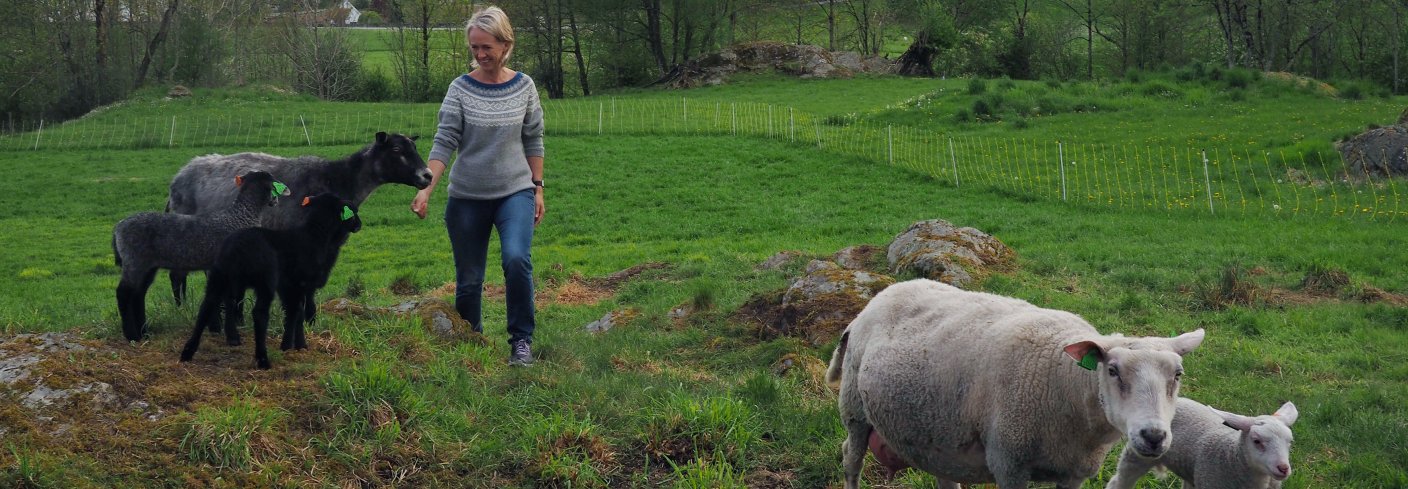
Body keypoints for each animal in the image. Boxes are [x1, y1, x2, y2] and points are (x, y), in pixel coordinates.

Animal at [113, 168, 288, 341]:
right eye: (272, 183)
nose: (276, 201)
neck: (241, 217)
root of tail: (118, 228)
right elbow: (227, 298)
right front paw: (223, 329)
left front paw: (216, 327)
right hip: (134, 260)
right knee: (124, 293)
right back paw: (132, 335)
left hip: (148, 266)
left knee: (138, 294)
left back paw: (144, 333)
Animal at [164, 132, 428, 312]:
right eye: (396, 149)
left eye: (414, 146)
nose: (428, 175)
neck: (337, 181)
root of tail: (178, 177)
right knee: (177, 275)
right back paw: (181, 309)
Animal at [178, 193, 363, 369]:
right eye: (352, 212)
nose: (359, 225)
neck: (315, 236)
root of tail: (237, 247)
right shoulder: (299, 284)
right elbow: (297, 312)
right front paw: (294, 344)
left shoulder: (287, 287)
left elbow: (294, 312)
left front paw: (292, 345)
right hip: (265, 280)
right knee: (259, 313)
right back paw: (263, 360)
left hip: (219, 276)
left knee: (207, 306)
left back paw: (188, 352)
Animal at [822, 279, 1210, 489]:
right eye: (1113, 370)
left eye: (1177, 375)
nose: (1153, 436)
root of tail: (881, 295)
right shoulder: (1009, 463)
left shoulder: (1074, 473)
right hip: (855, 409)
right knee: (851, 457)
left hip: (936, 433)